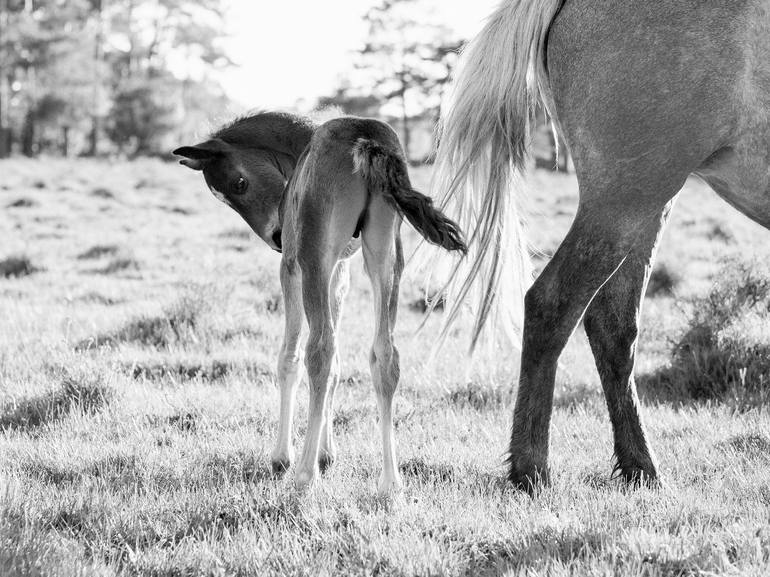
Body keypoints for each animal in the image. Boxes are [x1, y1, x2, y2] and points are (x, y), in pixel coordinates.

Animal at [176, 111, 462, 490]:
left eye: (239, 183)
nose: (276, 237)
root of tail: (365, 135)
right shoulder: (339, 269)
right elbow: (340, 363)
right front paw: (328, 455)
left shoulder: (293, 266)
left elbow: (291, 357)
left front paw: (283, 458)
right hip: (384, 256)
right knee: (385, 354)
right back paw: (390, 481)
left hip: (312, 257)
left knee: (320, 349)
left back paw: (303, 474)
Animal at [432, 0, 768, 488]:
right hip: (625, 197)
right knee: (553, 304)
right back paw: (530, 467)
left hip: (645, 204)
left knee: (613, 324)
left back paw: (639, 466)